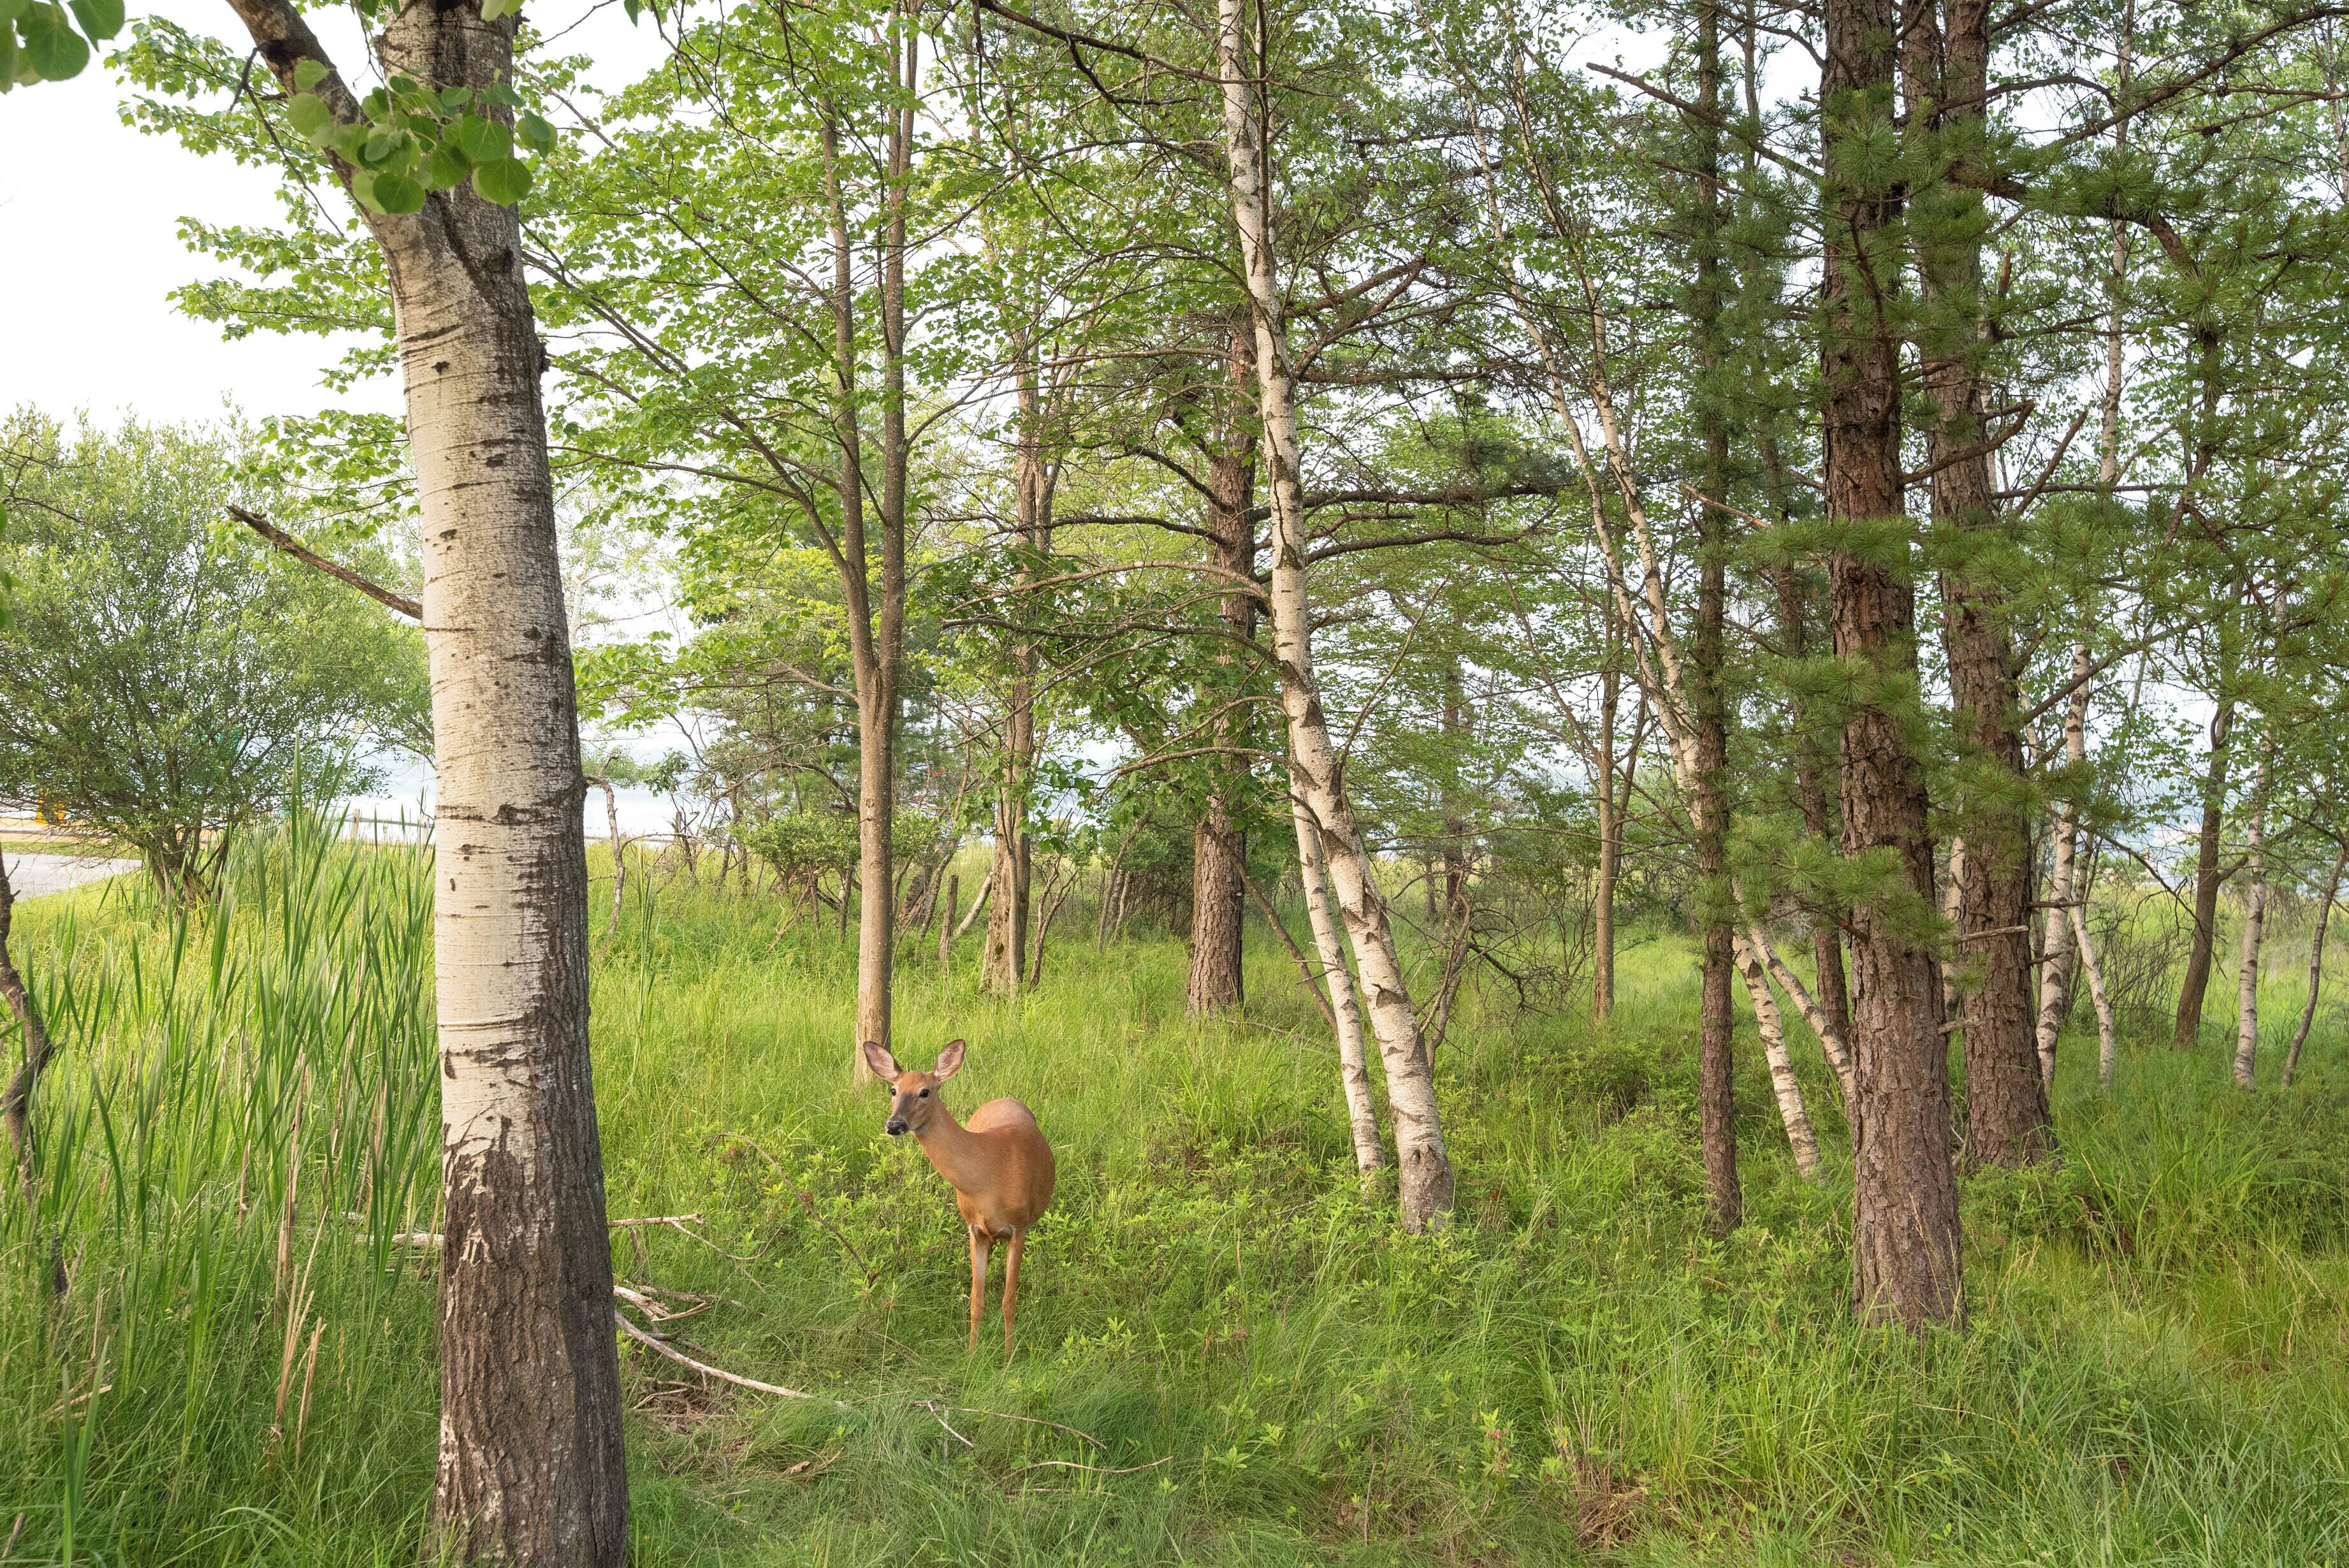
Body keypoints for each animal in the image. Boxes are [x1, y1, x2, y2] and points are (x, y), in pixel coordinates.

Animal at [862, 1038, 1056, 1354]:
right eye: (893, 1090)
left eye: (925, 1092)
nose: (894, 1125)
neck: (988, 1179)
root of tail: (1005, 1099)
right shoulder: (974, 1229)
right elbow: (976, 1300)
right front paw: (971, 1353)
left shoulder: (1019, 1227)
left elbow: (1009, 1302)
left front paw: (1008, 1358)